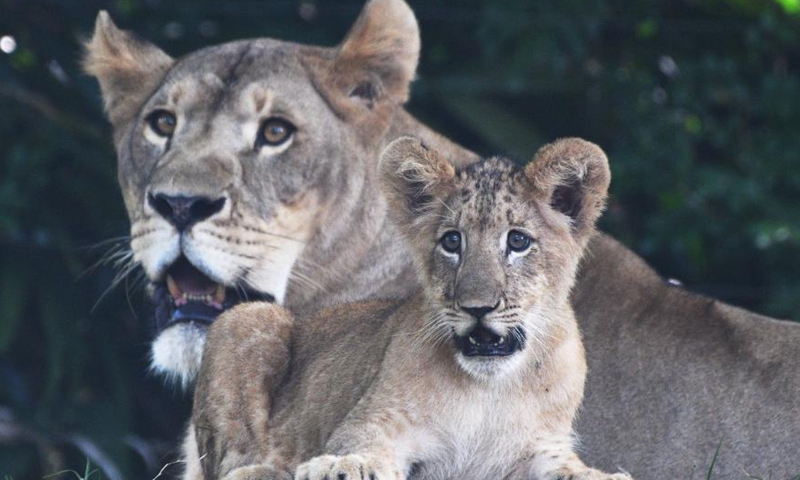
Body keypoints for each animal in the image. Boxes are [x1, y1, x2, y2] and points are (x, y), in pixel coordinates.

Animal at [189, 137, 632, 480]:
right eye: (452, 241)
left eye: (518, 241)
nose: (477, 307)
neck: (489, 391)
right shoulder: (375, 421)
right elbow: (359, 448)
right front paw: (341, 466)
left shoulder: (542, 444)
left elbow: (570, 469)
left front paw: (603, 475)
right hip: (245, 318)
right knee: (229, 464)